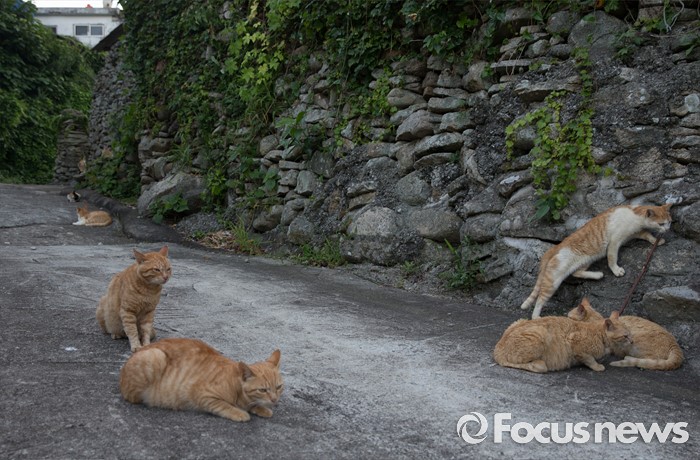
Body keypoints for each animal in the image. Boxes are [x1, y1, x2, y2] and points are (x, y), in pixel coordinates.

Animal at [120, 338, 283, 422]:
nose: (275, 399)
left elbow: (254, 404)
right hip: (155, 356)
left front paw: (261, 408)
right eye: (263, 390)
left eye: (279, 387)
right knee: (133, 397)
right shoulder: (202, 395)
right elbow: (224, 405)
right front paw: (240, 412)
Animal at [493, 306, 631, 373]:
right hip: (540, 333)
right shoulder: (575, 344)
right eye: (625, 336)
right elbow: (589, 359)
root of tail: (498, 349)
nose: (632, 341)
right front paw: (597, 366)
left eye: (630, 334)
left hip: (520, 321)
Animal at [520, 203, 672, 319]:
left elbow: (646, 234)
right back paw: (536, 317)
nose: (668, 229)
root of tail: (555, 247)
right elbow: (612, 258)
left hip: (587, 260)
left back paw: (597, 275)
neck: (634, 214)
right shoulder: (614, 241)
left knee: (576, 272)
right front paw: (616, 270)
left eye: (669, 222)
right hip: (553, 280)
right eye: (661, 223)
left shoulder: (634, 233)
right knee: (540, 298)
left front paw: (656, 240)